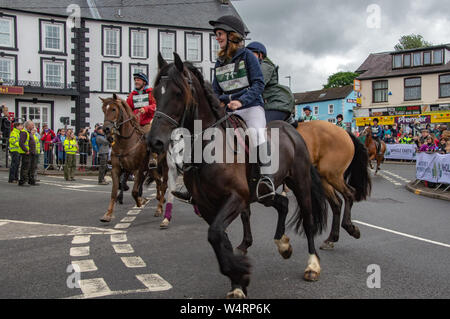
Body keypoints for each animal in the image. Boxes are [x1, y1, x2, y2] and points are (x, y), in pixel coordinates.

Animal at [148, 52, 326, 300]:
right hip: (263, 193)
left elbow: (216, 235)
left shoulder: (235, 197)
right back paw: (283, 244)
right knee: (281, 204)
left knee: (308, 220)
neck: (208, 147)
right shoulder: (207, 206)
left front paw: (239, 274)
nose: (154, 142)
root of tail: (292, 130)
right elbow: (220, 239)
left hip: (300, 184)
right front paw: (237, 283)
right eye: (155, 93)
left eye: (178, 92)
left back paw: (312, 265)